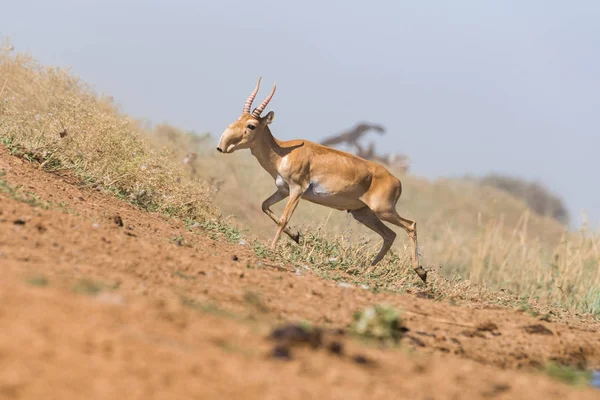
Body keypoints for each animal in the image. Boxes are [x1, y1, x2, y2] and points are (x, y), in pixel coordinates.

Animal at [216, 76, 426, 280]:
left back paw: (421, 272)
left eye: (251, 125)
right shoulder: (282, 190)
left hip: (383, 211)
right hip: (363, 214)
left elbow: (284, 218)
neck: (283, 152)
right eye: (239, 118)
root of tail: (397, 181)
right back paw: (367, 271)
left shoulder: (297, 190)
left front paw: (272, 248)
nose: (222, 146)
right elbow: (264, 206)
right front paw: (296, 236)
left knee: (410, 225)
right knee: (390, 235)